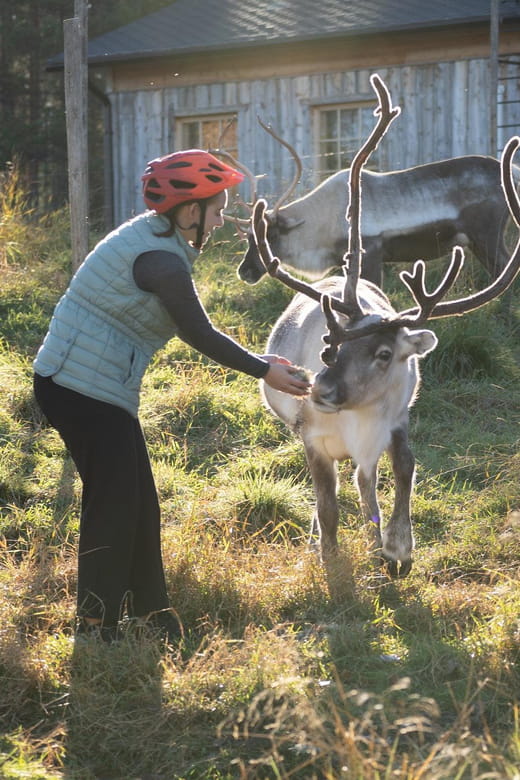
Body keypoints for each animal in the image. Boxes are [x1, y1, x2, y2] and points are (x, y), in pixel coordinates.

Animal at [250, 74, 520, 577]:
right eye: (329, 346)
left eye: (385, 353)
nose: (321, 390)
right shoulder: (313, 439)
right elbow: (326, 506)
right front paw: (330, 559)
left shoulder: (396, 425)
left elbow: (403, 475)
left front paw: (397, 549)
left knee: (365, 482)